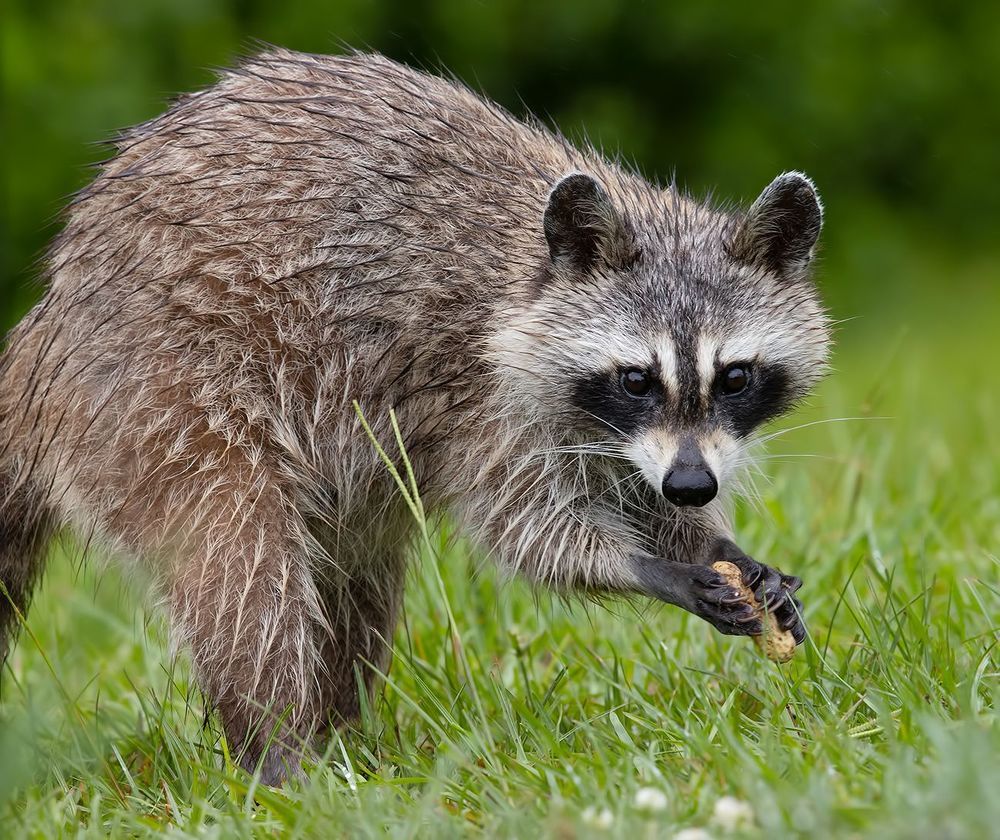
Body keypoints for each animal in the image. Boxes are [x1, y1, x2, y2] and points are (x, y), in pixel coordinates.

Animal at [0, 49, 829, 784]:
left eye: (736, 377)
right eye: (636, 379)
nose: (692, 486)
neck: (526, 276)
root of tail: (47, 322)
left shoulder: (618, 439)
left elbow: (637, 494)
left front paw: (715, 544)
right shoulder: (484, 398)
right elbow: (523, 528)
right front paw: (649, 566)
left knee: (352, 582)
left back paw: (335, 730)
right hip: (161, 396)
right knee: (240, 564)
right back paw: (277, 747)